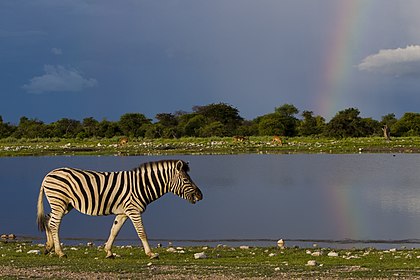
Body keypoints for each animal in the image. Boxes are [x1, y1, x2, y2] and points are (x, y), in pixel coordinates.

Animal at [37, 160, 204, 258]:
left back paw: (48, 247)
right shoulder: (133, 210)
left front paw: (108, 251)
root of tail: (48, 175)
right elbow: (142, 232)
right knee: (54, 224)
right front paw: (151, 253)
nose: (200, 196)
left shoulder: (123, 212)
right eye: (186, 179)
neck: (142, 186)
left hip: (65, 204)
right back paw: (60, 252)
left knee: (47, 219)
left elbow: (114, 231)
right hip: (59, 201)